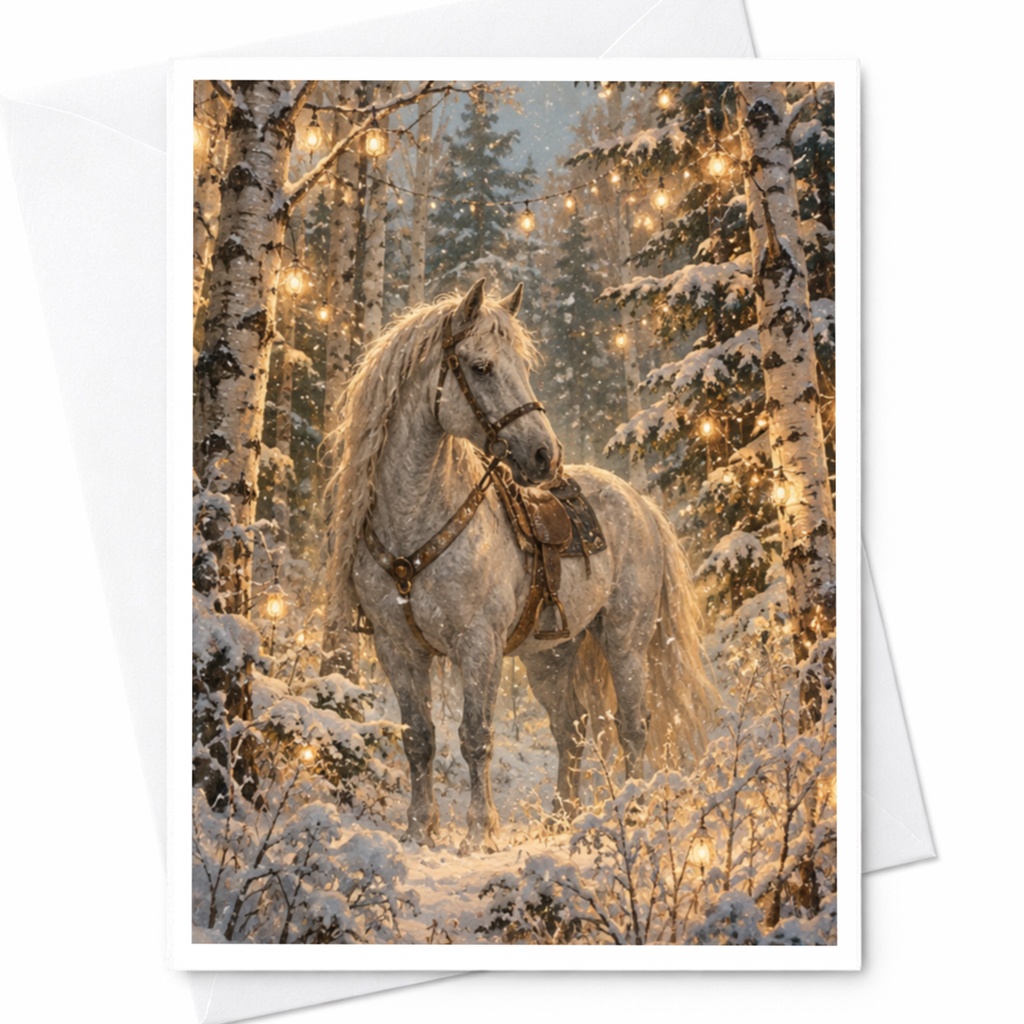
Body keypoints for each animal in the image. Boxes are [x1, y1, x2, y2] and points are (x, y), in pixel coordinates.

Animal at [327, 279, 717, 850]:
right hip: (550, 656)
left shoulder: (479, 644)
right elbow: (419, 738)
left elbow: (475, 736)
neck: (416, 524)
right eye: (482, 366)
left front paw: (480, 833)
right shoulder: (396, 647)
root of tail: (641, 505)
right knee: (570, 728)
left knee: (632, 725)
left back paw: (634, 810)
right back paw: (562, 816)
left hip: (624, 639)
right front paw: (420, 830)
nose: (544, 455)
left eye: (523, 365)